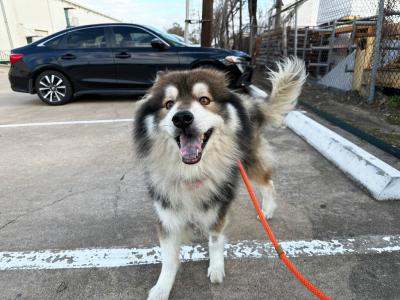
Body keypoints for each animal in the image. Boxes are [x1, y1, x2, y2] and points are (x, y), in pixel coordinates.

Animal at [134, 56, 306, 300]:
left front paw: (216, 268)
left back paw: (267, 211)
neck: (192, 172)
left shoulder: (219, 207)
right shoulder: (166, 213)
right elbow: (168, 258)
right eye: (168, 104)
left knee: (268, 183)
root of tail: (248, 103)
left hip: (249, 161)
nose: (182, 118)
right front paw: (162, 288)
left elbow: (215, 242)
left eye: (204, 100)